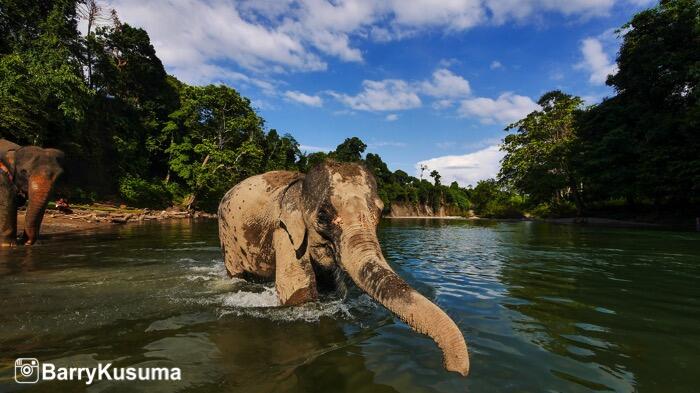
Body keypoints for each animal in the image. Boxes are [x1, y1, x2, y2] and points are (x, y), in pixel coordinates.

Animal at [219, 161, 470, 376]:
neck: (300, 185)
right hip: (227, 235)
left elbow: (332, 286)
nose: (456, 371)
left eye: (380, 213)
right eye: (322, 216)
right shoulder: (284, 231)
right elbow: (297, 289)